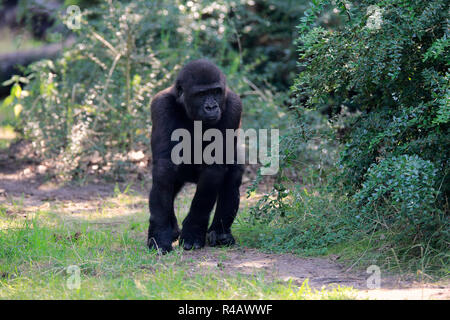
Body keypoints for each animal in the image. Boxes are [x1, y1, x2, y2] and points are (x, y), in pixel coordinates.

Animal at [147, 59, 243, 252]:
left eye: (216, 92)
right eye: (201, 94)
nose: (211, 107)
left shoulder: (234, 107)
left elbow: (212, 173)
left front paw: (193, 229)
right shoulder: (161, 106)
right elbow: (164, 168)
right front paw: (160, 234)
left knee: (233, 175)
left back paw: (220, 233)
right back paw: (172, 228)